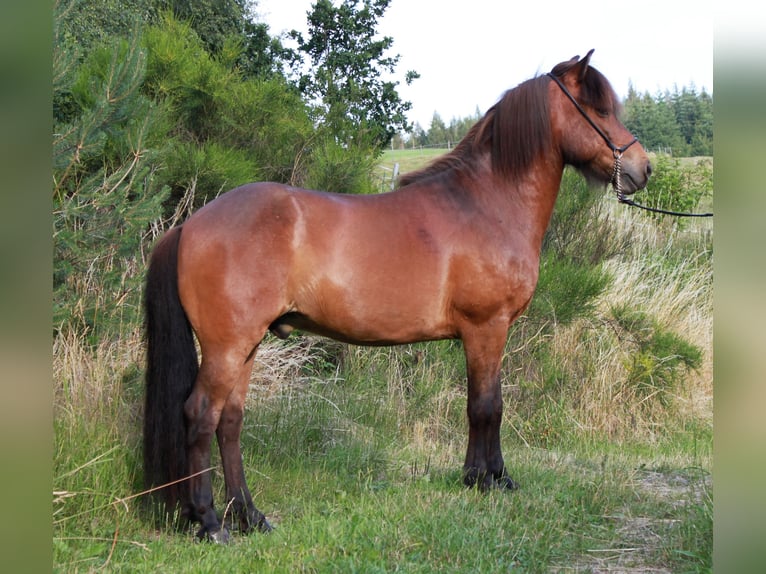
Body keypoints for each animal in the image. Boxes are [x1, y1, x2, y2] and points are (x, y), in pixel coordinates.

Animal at [144, 50, 656, 544]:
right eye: (599, 109)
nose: (643, 168)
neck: (486, 204)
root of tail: (190, 225)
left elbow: (482, 403)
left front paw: (478, 475)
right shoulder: (487, 327)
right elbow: (487, 405)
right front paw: (489, 479)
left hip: (247, 346)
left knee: (230, 422)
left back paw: (251, 516)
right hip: (227, 347)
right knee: (200, 417)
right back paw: (211, 523)